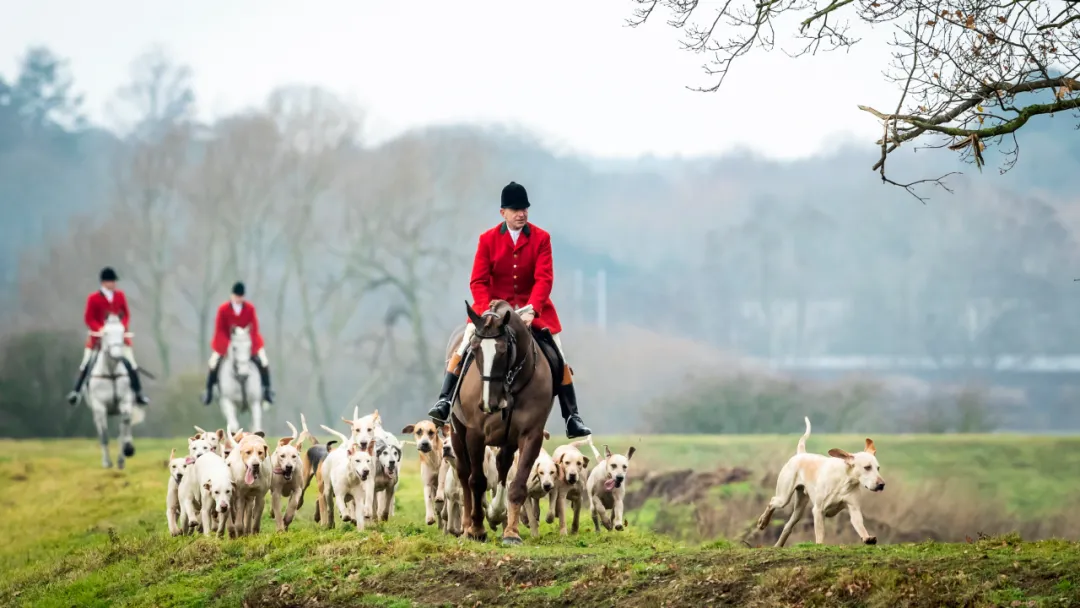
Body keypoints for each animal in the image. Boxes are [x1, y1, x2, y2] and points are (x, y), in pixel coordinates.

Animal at [83, 313, 143, 470]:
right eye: (106, 333)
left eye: (122, 332)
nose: (117, 355)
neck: (111, 373)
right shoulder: (99, 407)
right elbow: (104, 435)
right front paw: (107, 462)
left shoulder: (125, 402)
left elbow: (124, 427)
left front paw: (128, 450)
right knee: (101, 432)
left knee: (123, 428)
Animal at [444, 298, 552, 544]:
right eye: (474, 349)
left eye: (503, 351)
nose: (488, 403)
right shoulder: (475, 434)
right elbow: (476, 481)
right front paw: (476, 529)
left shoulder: (531, 435)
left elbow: (517, 483)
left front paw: (511, 531)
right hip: (457, 432)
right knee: (464, 474)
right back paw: (467, 525)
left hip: (507, 438)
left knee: (503, 464)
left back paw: (497, 512)